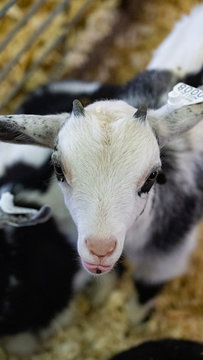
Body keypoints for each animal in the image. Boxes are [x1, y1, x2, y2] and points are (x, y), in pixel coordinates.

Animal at [0, 2, 202, 320]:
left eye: (151, 177)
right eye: (58, 170)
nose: (100, 250)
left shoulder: (166, 257)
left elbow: (144, 294)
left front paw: (134, 322)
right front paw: (101, 297)